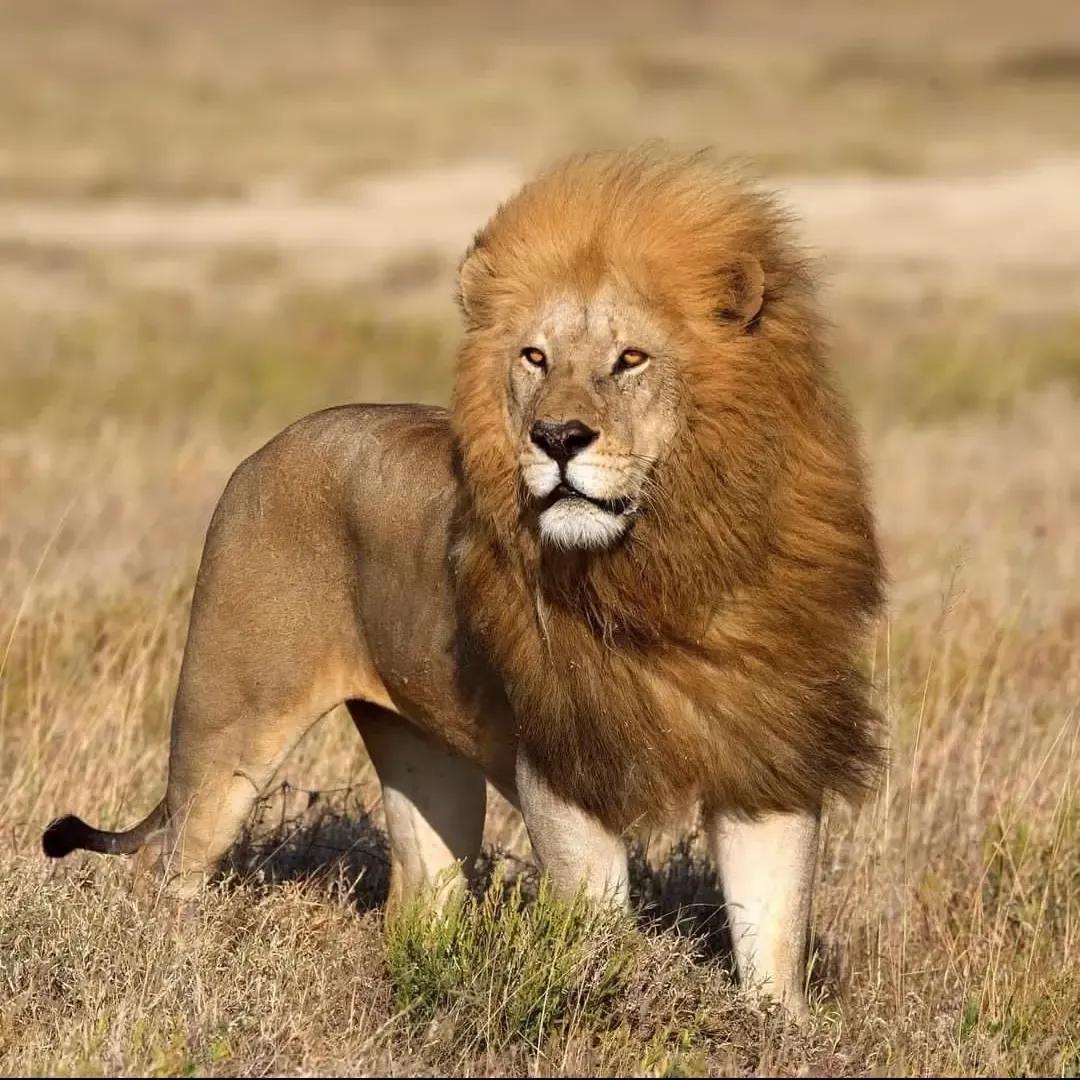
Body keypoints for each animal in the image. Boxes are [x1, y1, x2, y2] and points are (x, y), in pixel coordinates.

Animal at [42, 149, 883, 1016]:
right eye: (535, 357)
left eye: (631, 360)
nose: (557, 437)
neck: (660, 569)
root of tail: (273, 444)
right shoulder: (561, 766)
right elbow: (598, 925)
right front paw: (603, 1001)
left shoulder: (767, 754)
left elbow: (772, 939)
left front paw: (779, 1028)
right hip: (226, 718)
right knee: (171, 864)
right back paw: (175, 973)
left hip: (423, 755)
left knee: (423, 893)